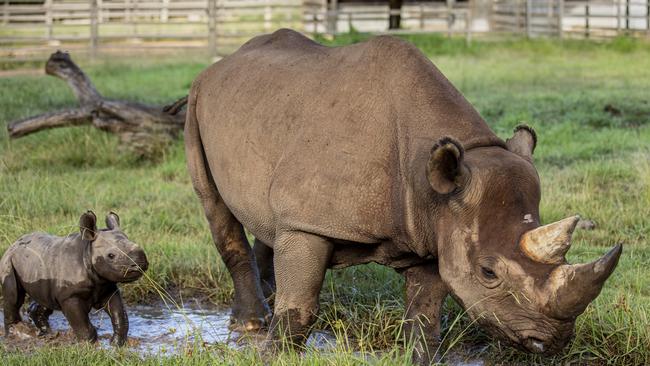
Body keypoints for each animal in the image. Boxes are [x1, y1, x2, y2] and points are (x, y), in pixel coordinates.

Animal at [0, 210, 147, 344]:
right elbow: (83, 325)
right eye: (111, 256)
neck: (87, 253)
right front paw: (89, 346)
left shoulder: (107, 286)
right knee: (14, 297)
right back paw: (18, 334)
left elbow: (119, 315)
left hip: (38, 265)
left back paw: (47, 334)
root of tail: (14, 244)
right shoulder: (70, 296)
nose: (140, 263)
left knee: (46, 299)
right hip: (9, 260)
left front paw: (116, 344)